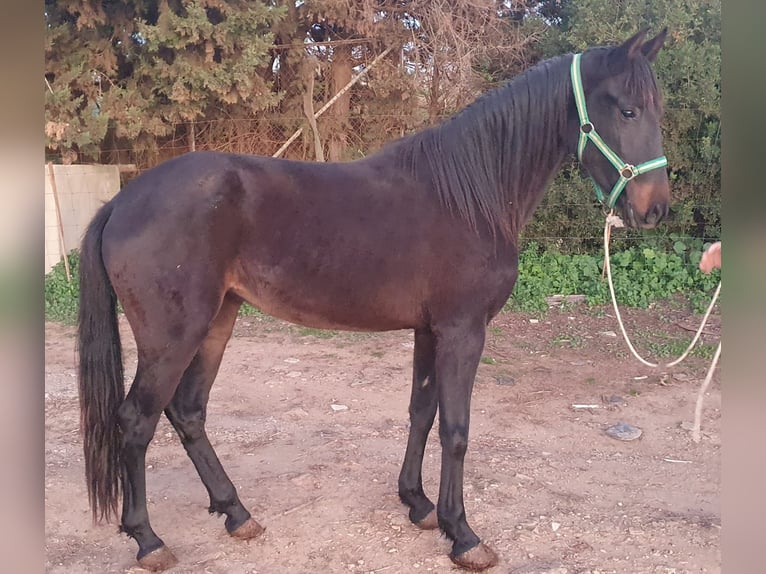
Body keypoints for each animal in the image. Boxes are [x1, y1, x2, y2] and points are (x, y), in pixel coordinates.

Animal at [75, 28, 668, 572]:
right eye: (629, 109)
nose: (655, 209)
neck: (471, 196)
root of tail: (121, 201)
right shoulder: (463, 330)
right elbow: (456, 429)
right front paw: (462, 534)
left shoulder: (430, 330)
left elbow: (421, 413)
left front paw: (418, 504)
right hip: (173, 335)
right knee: (136, 420)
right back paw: (148, 539)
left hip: (218, 321)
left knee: (188, 411)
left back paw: (236, 513)